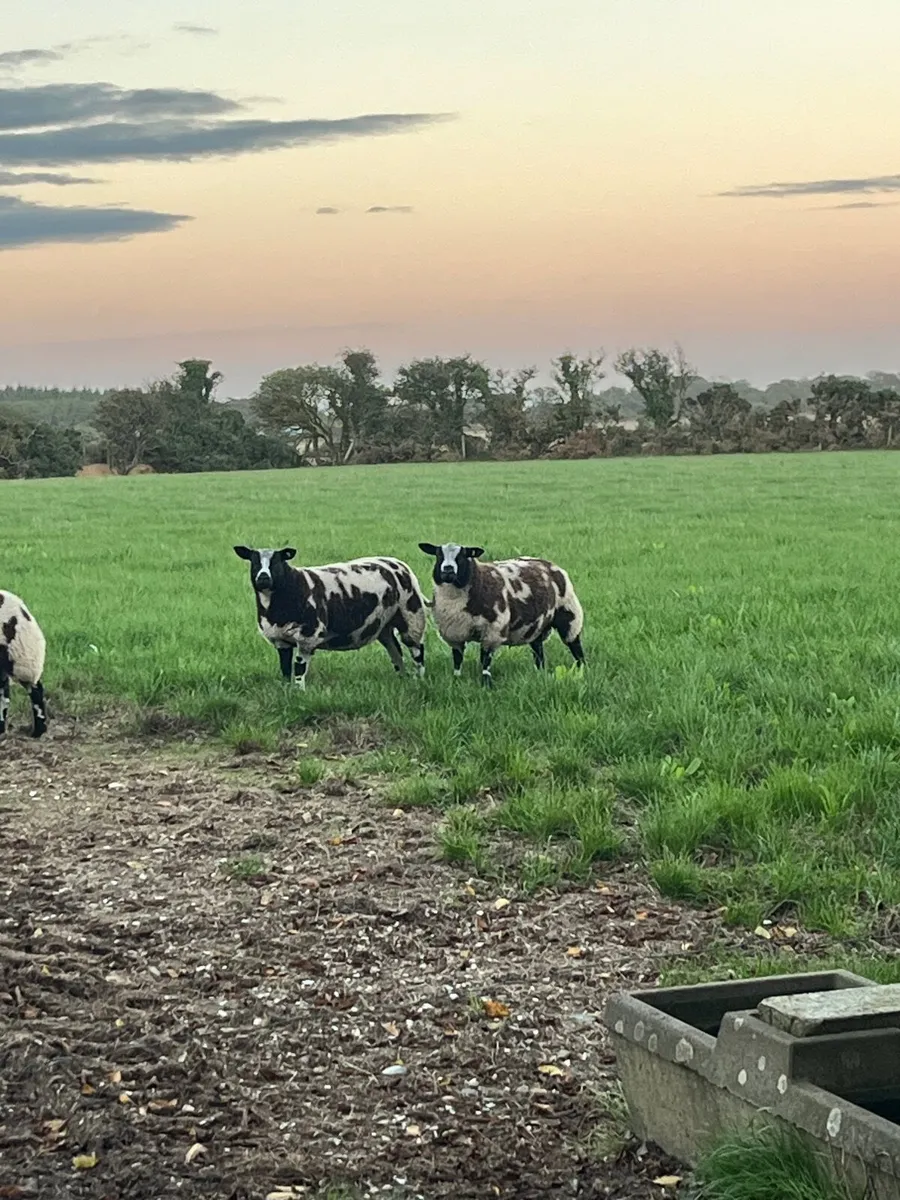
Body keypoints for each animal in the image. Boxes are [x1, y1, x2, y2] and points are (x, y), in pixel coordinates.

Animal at [233, 546, 427, 687]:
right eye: (254, 562)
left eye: (276, 562)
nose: (263, 578)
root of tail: (398, 563)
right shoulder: (280, 640)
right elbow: (285, 669)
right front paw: (286, 691)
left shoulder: (307, 637)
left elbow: (299, 668)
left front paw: (298, 692)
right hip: (384, 625)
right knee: (395, 650)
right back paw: (402, 678)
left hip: (411, 615)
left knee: (417, 650)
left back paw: (419, 680)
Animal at [418, 542, 585, 686]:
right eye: (438, 554)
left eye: (463, 555)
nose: (448, 570)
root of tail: (548, 563)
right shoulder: (454, 633)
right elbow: (457, 659)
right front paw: (456, 678)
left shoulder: (493, 631)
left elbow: (485, 660)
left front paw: (486, 684)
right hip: (536, 626)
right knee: (538, 650)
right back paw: (540, 672)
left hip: (569, 616)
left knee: (575, 646)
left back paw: (582, 670)